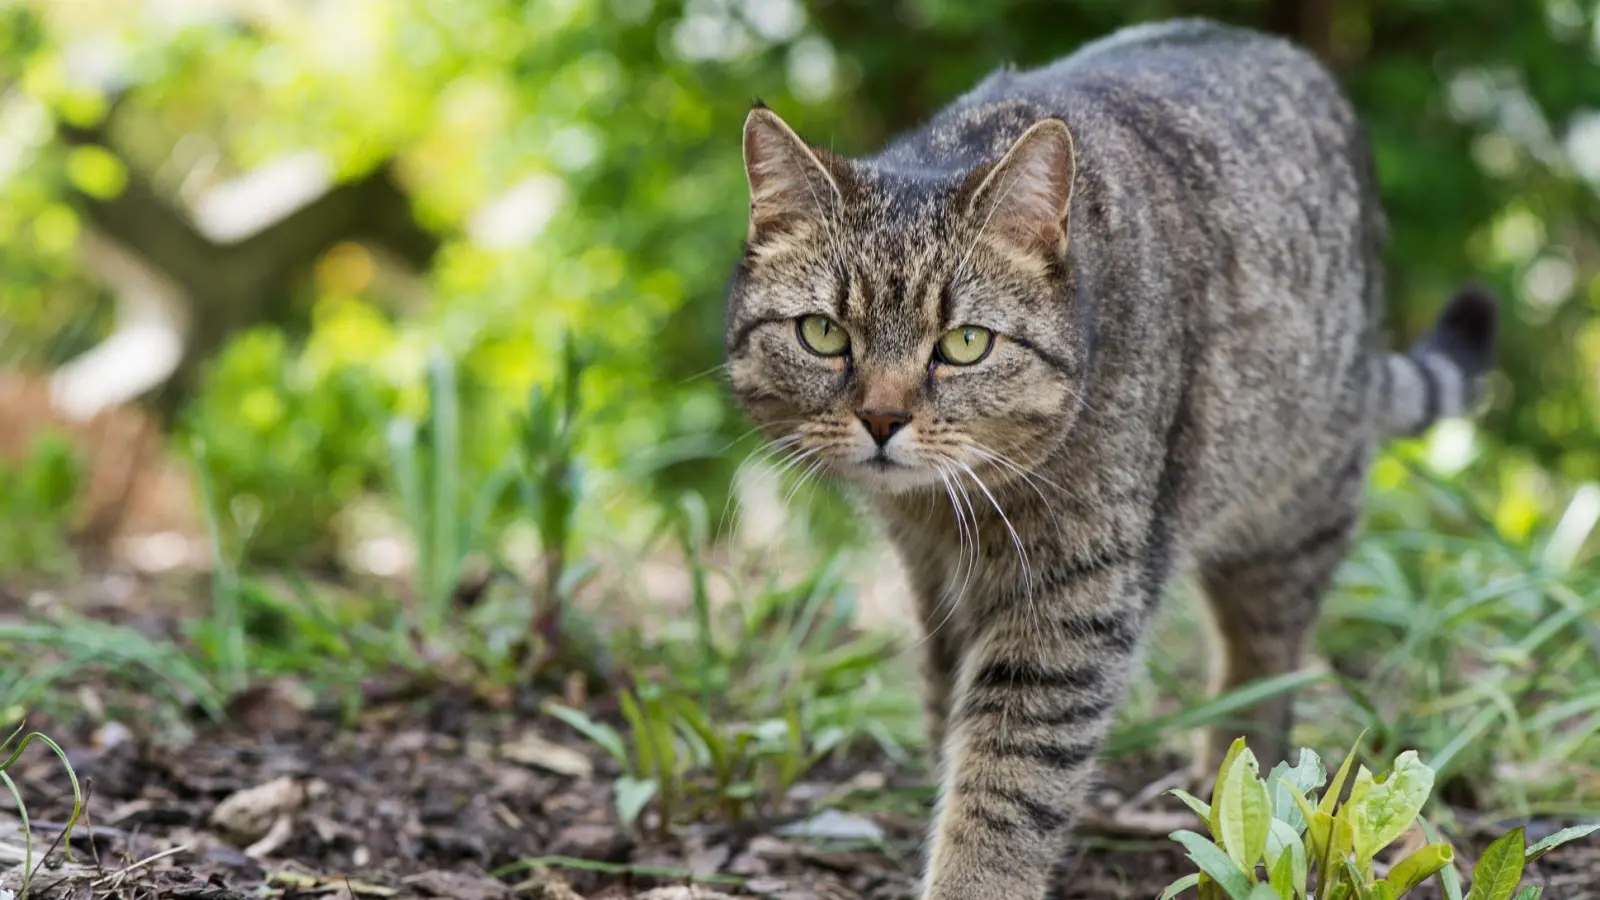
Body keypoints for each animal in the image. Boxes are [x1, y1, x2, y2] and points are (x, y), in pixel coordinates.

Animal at [726, 19, 1497, 896]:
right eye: (824, 334)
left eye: (965, 344)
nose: (883, 418)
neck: (954, 512)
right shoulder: (932, 580)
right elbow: (946, 712)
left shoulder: (1073, 597)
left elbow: (1009, 773)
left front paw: (974, 878)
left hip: (1291, 515)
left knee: (1264, 668)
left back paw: (1238, 794)